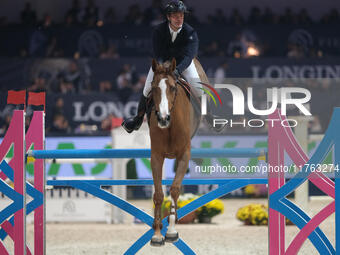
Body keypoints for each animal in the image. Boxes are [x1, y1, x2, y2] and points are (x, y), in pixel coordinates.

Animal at [147, 58, 201, 246]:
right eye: (154, 88)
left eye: (172, 88)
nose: (163, 119)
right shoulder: (156, 156)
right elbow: (158, 194)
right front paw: (157, 234)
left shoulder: (184, 155)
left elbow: (175, 189)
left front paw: (171, 230)